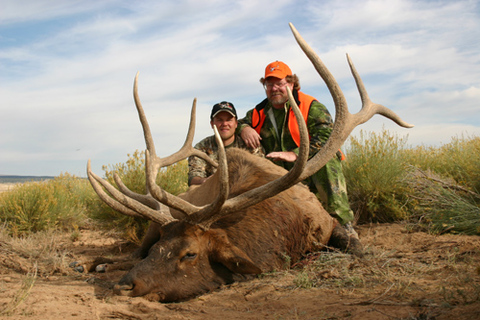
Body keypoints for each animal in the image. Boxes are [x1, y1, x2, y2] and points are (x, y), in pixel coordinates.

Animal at [85, 23, 412, 302]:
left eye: (189, 254)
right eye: (159, 248)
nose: (125, 286)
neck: (283, 232)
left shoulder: (328, 223)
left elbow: (354, 247)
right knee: (125, 255)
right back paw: (96, 264)